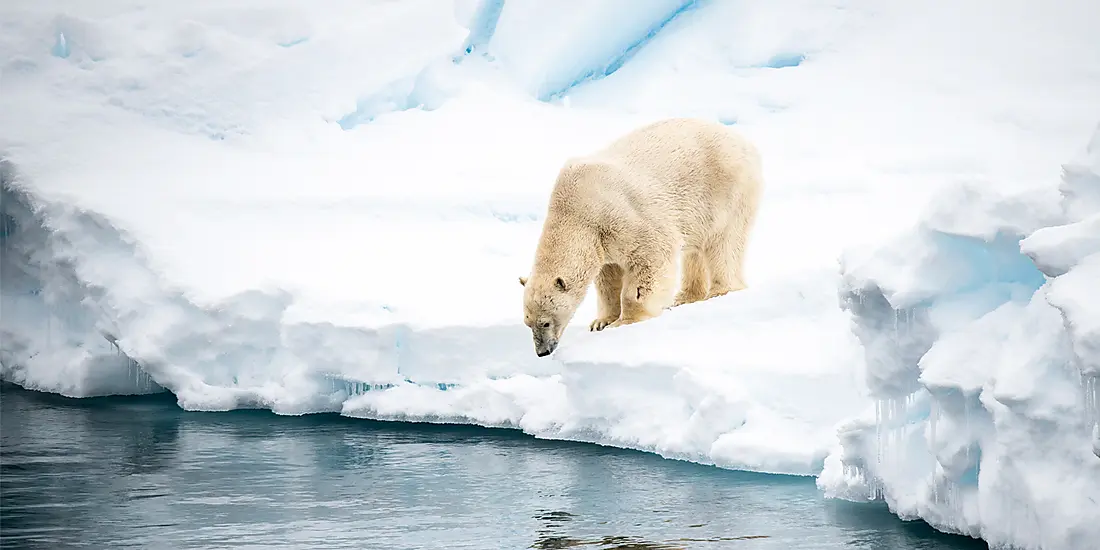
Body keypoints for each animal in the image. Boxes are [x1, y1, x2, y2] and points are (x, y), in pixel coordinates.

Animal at [517, 117, 761, 356]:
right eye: (528, 323)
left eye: (546, 322)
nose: (542, 351)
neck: (575, 210)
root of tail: (745, 142)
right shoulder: (600, 239)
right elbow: (608, 278)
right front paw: (601, 321)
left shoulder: (621, 217)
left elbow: (651, 257)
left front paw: (626, 320)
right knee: (695, 250)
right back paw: (685, 297)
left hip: (725, 191)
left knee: (724, 243)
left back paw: (720, 291)